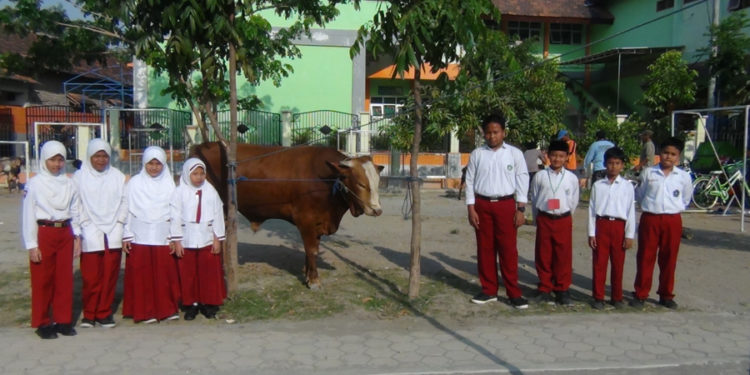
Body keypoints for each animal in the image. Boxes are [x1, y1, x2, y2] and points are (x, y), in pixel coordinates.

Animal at [191, 142, 384, 290]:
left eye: (377, 182)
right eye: (361, 183)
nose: (377, 210)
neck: (326, 180)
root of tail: (200, 146)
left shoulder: (317, 223)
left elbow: (311, 249)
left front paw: (307, 274)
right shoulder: (306, 219)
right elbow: (312, 250)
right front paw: (314, 281)